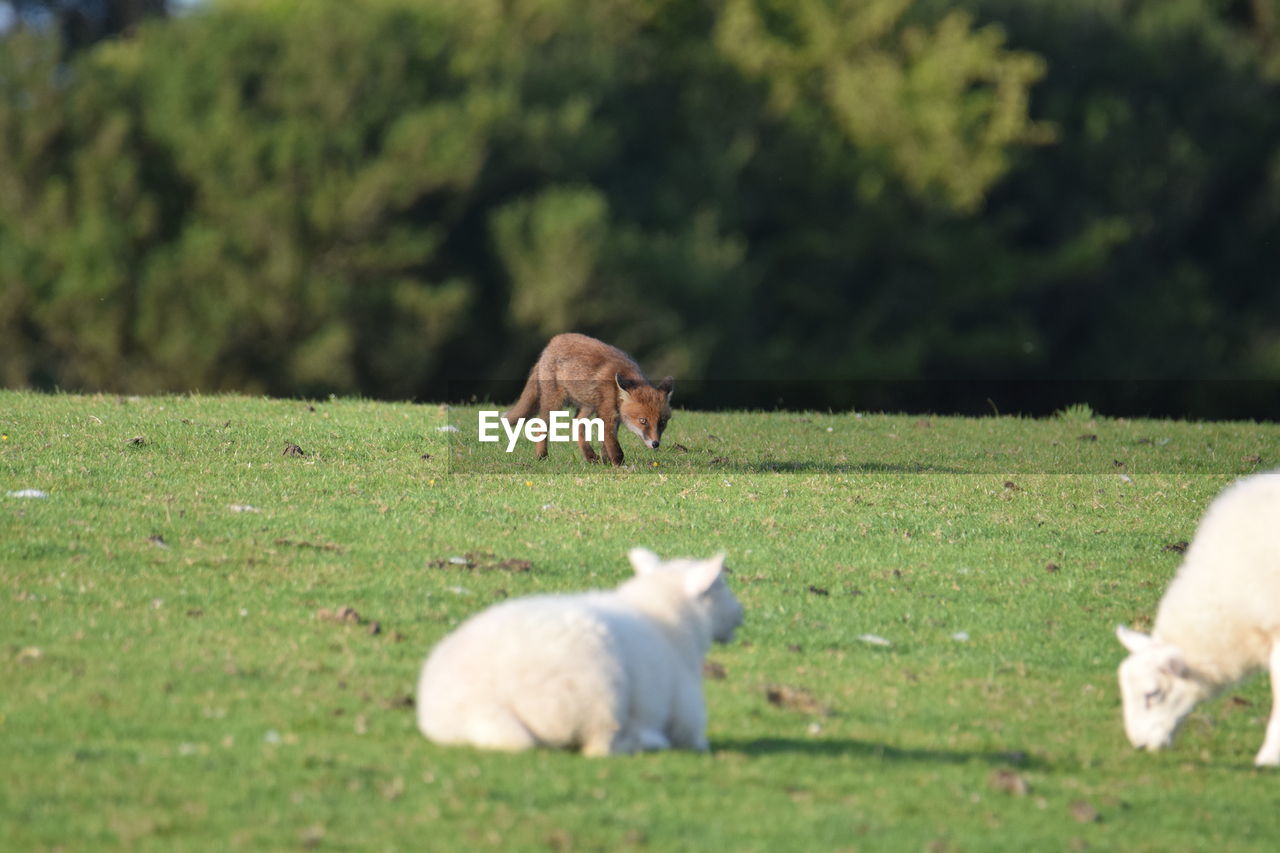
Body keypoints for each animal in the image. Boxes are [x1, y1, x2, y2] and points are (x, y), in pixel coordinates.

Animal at [414, 545, 747, 753]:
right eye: (720, 585)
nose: (741, 614)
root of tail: (481, 704)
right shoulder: (688, 712)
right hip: (600, 698)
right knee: (600, 745)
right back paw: (645, 742)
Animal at [504, 333, 675, 466]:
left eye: (662, 422)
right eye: (643, 421)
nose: (655, 444)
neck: (615, 390)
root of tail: (551, 344)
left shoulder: (611, 415)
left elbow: (605, 443)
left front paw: (607, 461)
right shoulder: (607, 414)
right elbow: (614, 446)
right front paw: (620, 465)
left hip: (588, 405)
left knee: (576, 424)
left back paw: (590, 456)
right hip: (554, 403)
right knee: (541, 426)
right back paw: (542, 456)